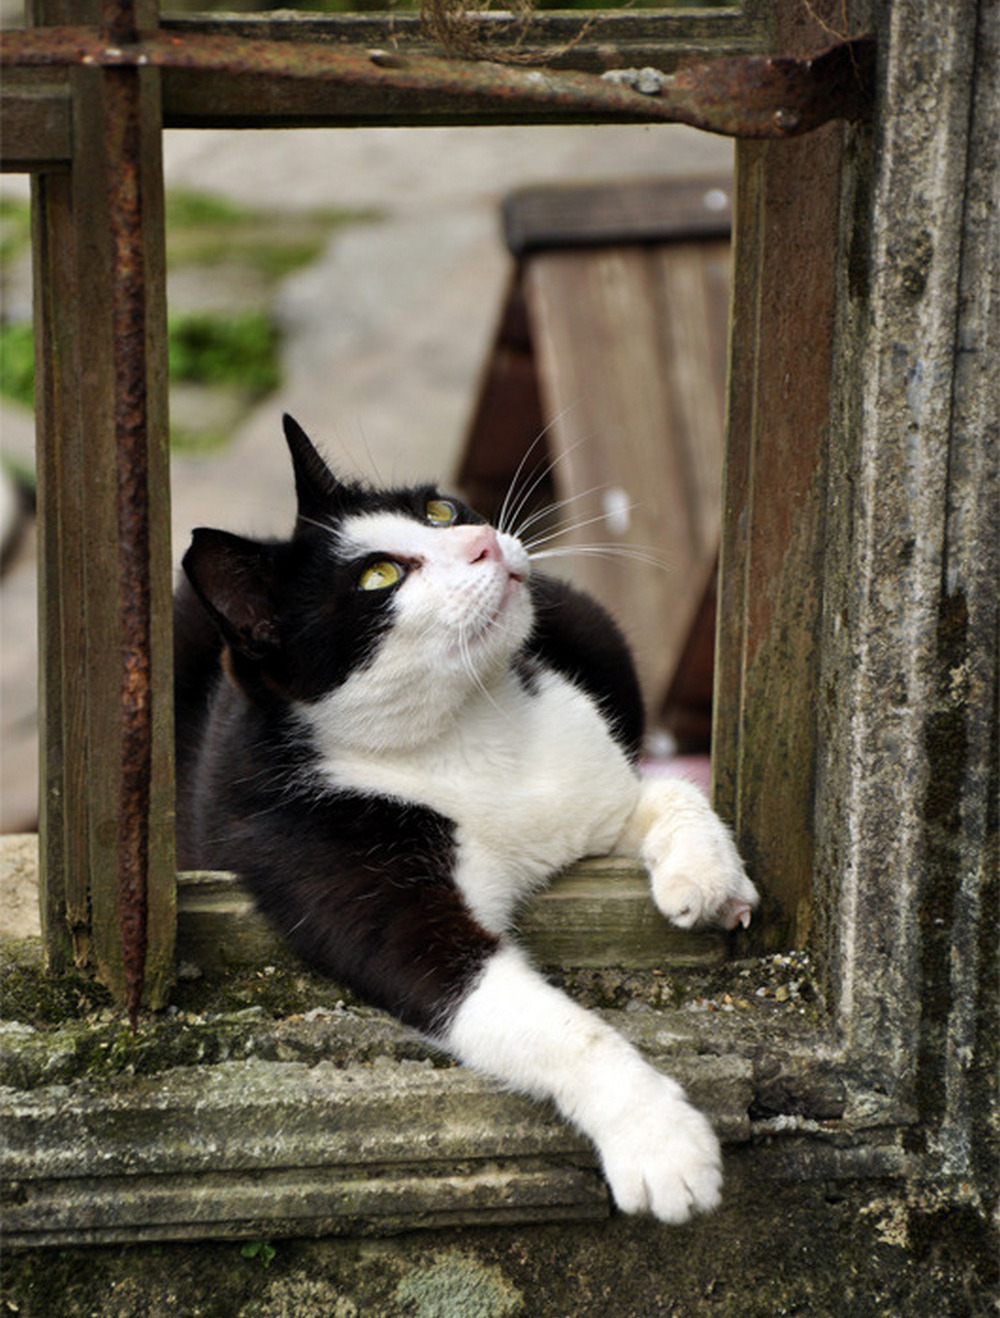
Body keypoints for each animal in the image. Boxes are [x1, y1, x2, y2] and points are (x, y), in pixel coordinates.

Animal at [177, 413, 758, 1223]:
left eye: (440, 510)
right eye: (379, 577)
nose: (483, 539)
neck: (465, 732)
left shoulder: (582, 762)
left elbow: (667, 793)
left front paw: (705, 877)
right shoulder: (329, 861)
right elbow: (538, 1021)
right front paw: (659, 1141)